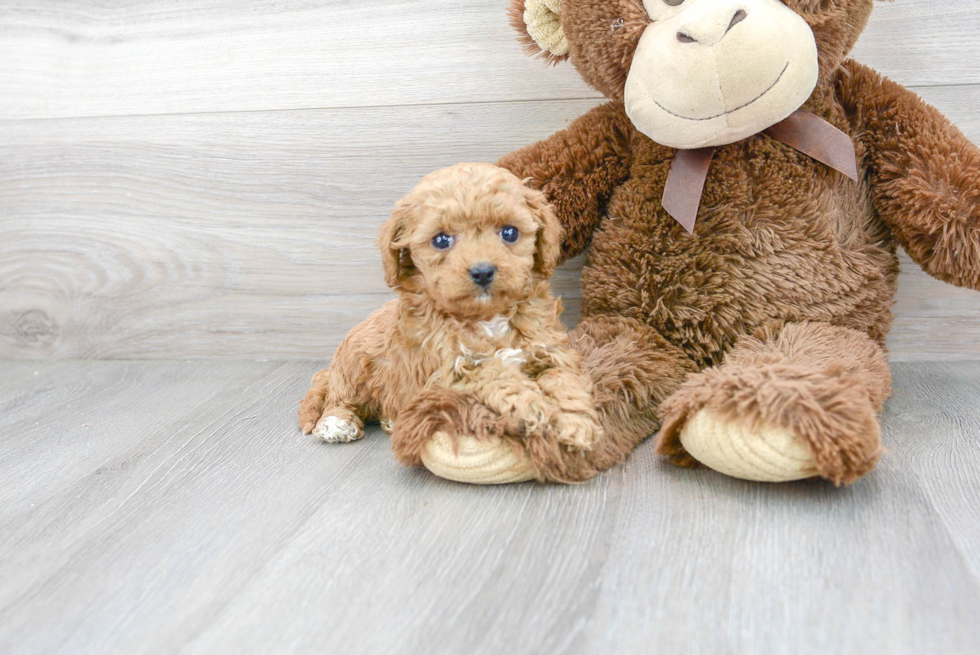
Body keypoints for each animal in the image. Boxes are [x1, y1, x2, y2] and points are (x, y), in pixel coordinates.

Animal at [298, 162, 600, 484]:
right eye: (441, 240)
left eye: (509, 232)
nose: (482, 271)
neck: (486, 317)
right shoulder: (447, 371)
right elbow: (494, 376)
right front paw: (534, 407)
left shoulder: (550, 350)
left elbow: (564, 380)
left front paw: (576, 422)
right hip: (354, 363)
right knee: (338, 396)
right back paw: (336, 423)